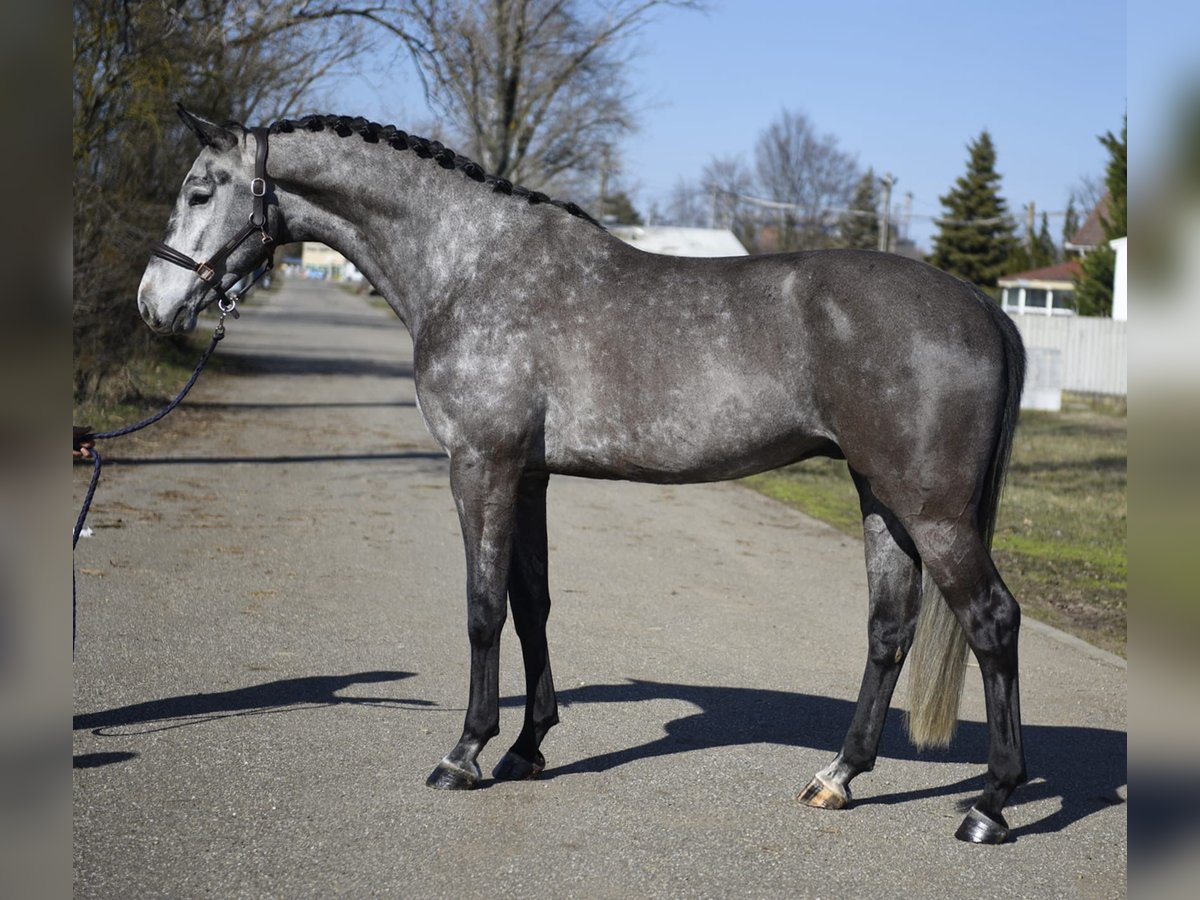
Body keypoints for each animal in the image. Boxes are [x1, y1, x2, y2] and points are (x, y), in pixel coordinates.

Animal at [137, 106, 1027, 844]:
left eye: (200, 190)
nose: (153, 303)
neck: (471, 264)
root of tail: (985, 308)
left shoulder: (481, 466)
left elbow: (482, 610)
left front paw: (464, 753)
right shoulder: (529, 476)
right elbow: (532, 605)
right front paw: (527, 747)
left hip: (932, 510)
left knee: (991, 621)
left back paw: (989, 807)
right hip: (882, 499)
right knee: (889, 630)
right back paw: (838, 778)